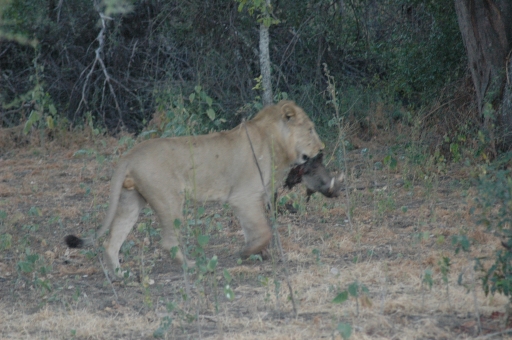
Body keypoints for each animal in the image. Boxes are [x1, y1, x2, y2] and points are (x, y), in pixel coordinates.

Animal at [63, 100, 320, 276]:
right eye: (310, 129)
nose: (322, 148)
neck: (275, 140)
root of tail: (129, 155)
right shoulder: (244, 196)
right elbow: (263, 230)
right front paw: (247, 252)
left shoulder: (247, 199)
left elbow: (252, 228)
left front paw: (258, 253)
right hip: (170, 200)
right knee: (168, 241)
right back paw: (193, 266)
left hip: (131, 200)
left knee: (112, 240)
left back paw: (120, 274)